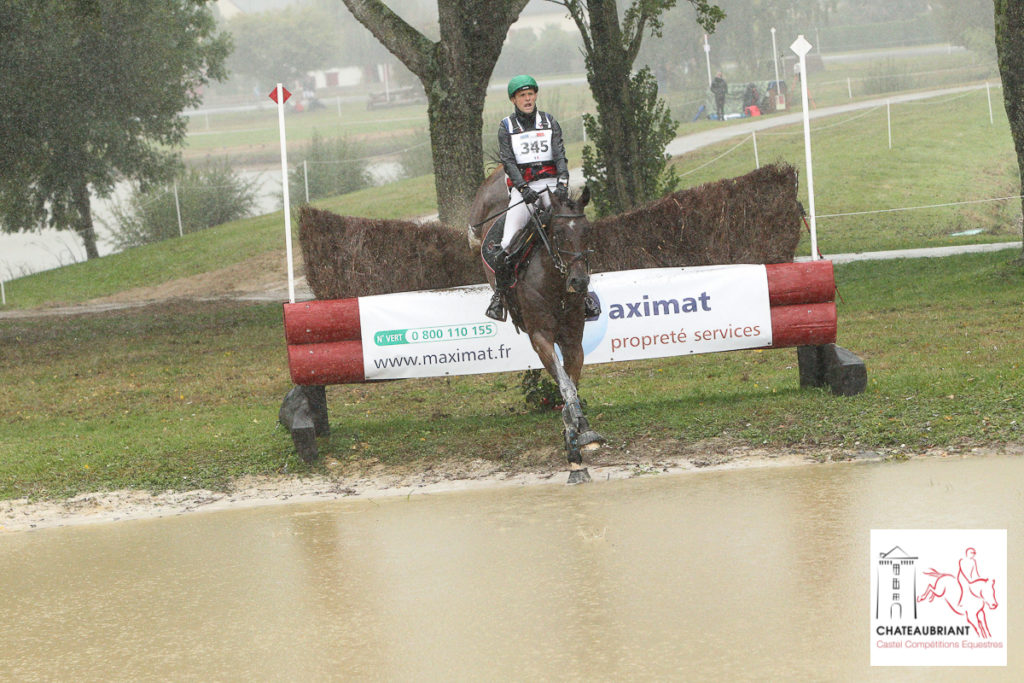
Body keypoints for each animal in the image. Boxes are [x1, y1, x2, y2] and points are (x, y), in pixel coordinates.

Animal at [468, 167, 602, 483]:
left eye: (586, 232)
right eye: (558, 233)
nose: (579, 282)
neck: (555, 285)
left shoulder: (572, 341)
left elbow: (571, 384)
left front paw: (578, 438)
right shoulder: (540, 338)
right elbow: (565, 387)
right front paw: (577, 439)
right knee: (477, 238)